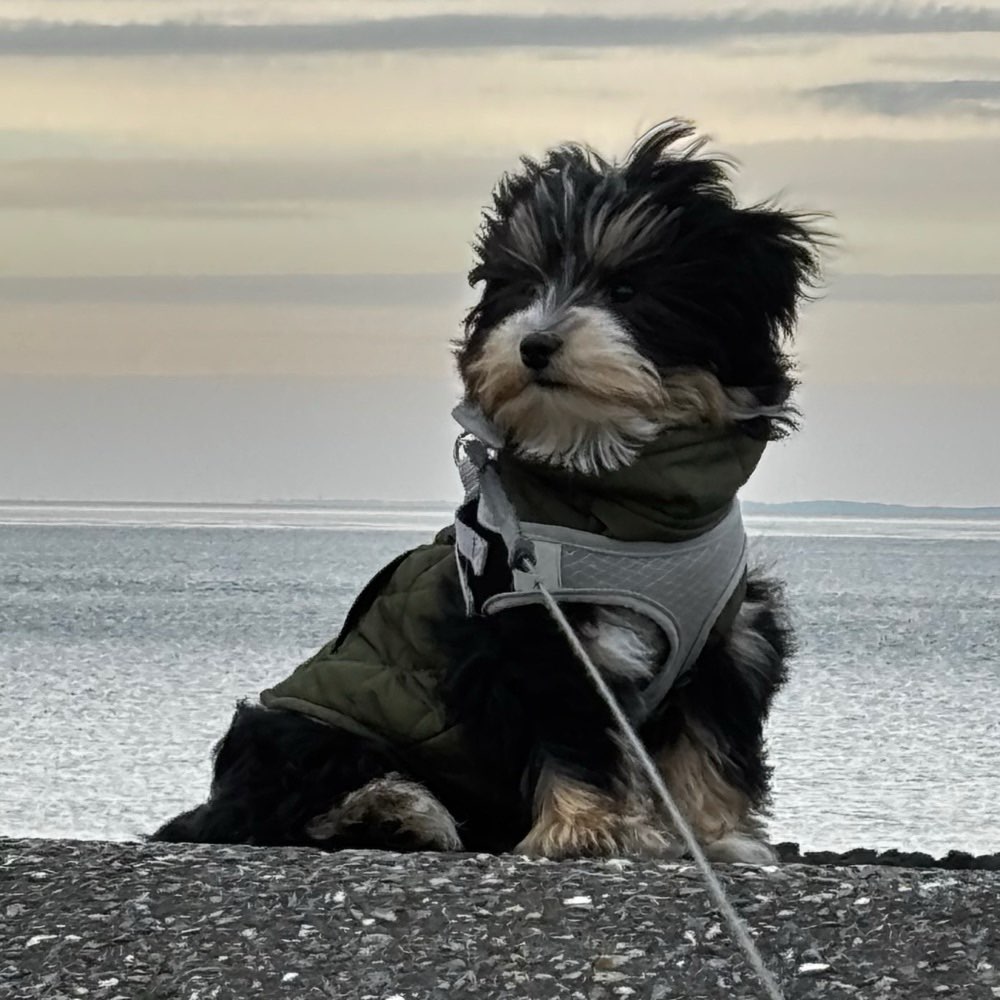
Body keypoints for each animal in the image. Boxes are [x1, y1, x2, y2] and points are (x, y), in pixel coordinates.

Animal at [156, 121, 824, 864]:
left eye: (626, 290)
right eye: (525, 286)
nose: (534, 344)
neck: (624, 495)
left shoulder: (727, 638)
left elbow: (707, 743)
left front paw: (714, 837)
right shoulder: (536, 625)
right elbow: (574, 737)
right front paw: (586, 830)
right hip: (307, 730)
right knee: (286, 800)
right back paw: (394, 812)